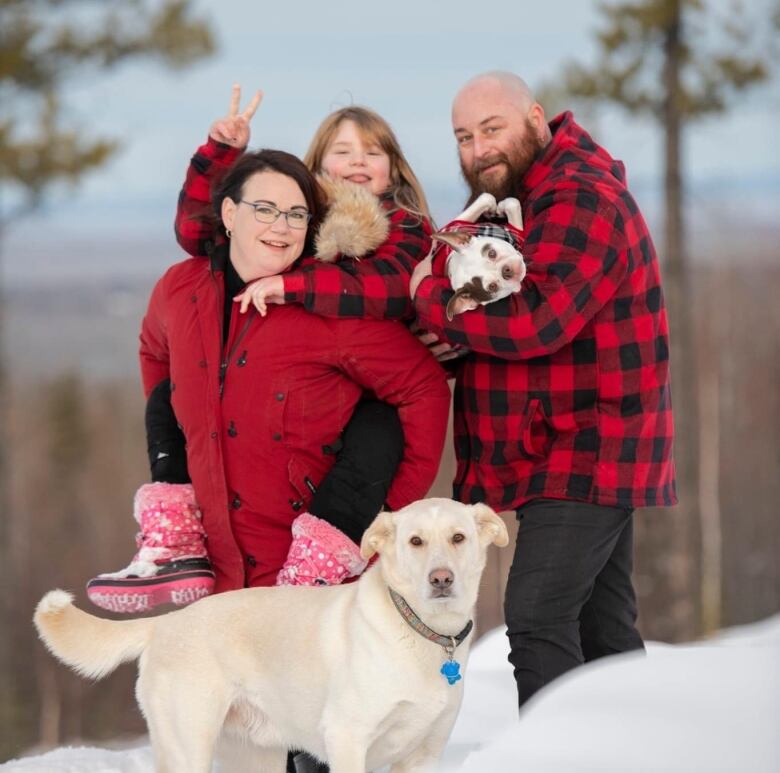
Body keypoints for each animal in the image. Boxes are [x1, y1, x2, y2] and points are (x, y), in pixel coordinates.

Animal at [36, 498, 508, 768]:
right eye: (415, 542)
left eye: (458, 537)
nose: (441, 580)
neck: (422, 629)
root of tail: (166, 622)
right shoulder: (348, 739)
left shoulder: (424, 754)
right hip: (187, 744)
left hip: (247, 753)